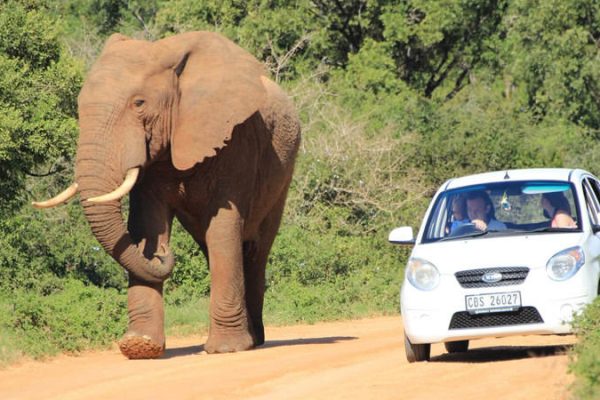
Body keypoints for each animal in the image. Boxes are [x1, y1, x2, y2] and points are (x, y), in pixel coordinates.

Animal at [32, 32, 300, 360]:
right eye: (79, 105)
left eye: (139, 104)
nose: (162, 252)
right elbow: (146, 224)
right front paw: (140, 346)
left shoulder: (236, 139)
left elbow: (223, 227)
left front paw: (226, 349)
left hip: (283, 173)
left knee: (255, 248)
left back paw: (254, 339)